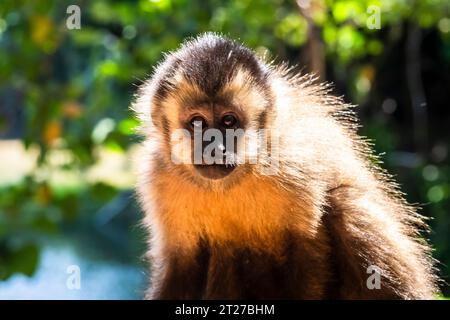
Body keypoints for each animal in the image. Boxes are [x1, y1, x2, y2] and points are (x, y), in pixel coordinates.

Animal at [132, 33, 438, 300]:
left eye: (229, 121)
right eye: (198, 122)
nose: (214, 146)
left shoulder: (293, 160)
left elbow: (309, 252)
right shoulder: (158, 175)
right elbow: (180, 265)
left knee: (345, 203)